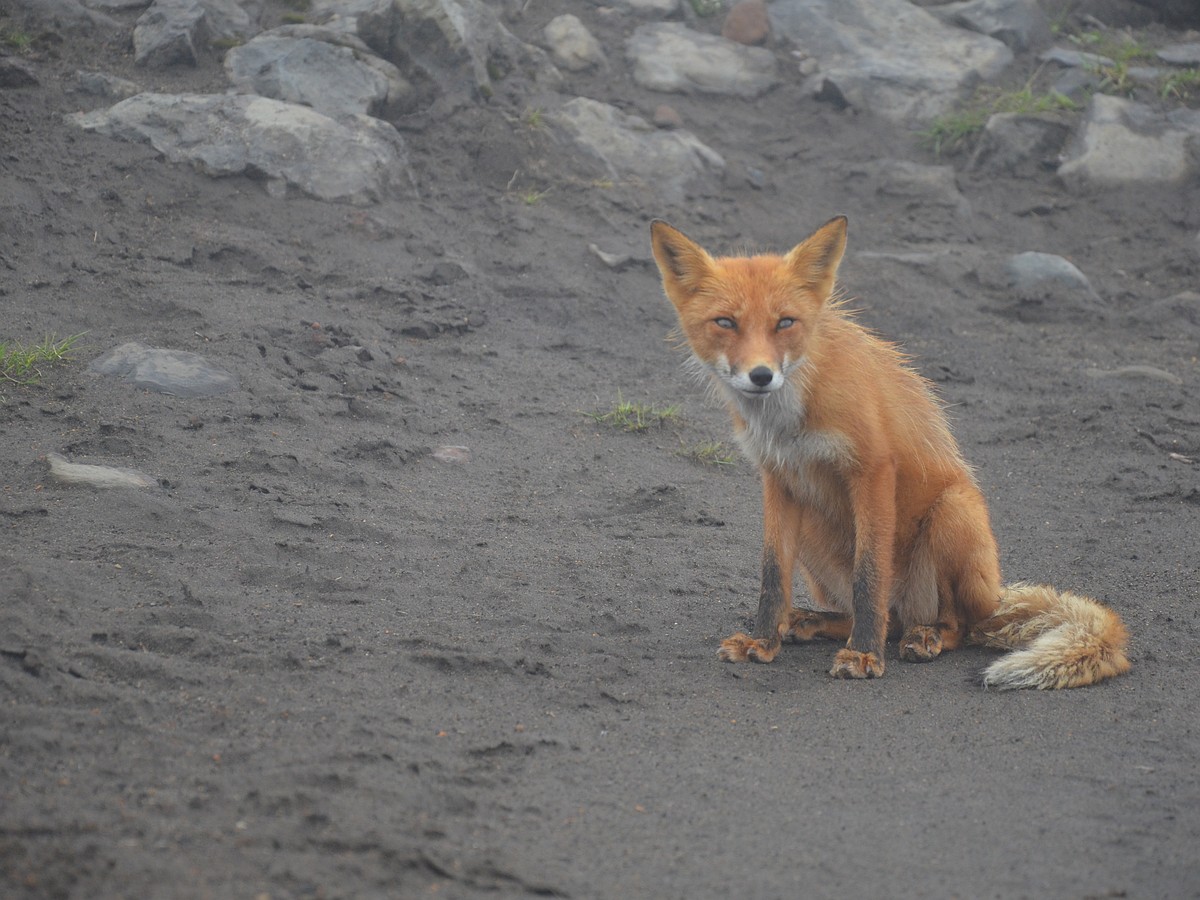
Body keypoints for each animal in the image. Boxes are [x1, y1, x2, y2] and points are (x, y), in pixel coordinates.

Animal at [652, 217, 1128, 691]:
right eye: (725, 322)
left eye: (785, 322)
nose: (761, 375)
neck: (791, 418)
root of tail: (994, 598)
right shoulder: (779, 478)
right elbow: (772, 577)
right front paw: (763, 641)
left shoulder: (874, 470)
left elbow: (869, 578)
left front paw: (865, 655)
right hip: (812, 537)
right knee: (889, 618)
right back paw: (813, 622)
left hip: (953, 515)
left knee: (953, 625)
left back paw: (927, 637)